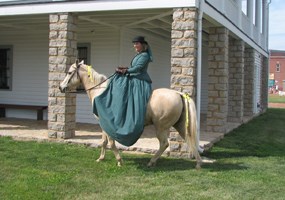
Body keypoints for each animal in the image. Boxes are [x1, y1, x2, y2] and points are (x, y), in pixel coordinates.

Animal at [59, 60, 202, 169]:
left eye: (69, 72)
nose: (61, 87)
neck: (101, 92)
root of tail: (179, 94)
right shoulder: (103, 124)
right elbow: (104, 141)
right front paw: (101, 158)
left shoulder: (106, 124)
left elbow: (111, 142)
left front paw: (119, 161)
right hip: (180, 126)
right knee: (190, 140)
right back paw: (198, 164)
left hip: (161, 127)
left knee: (164, 144)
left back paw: (151, 162)